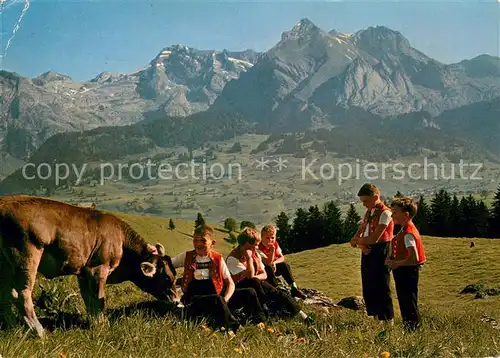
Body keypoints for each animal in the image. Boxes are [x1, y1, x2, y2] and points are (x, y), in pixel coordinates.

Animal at [0, 196, 179, 338]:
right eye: (166, 277)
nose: (177, 301)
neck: (122, 243)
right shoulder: (98, 269)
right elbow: (99, 299)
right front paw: (102, 325)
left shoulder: (83, 272)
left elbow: (88, 298)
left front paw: (93, 323)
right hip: (26, 255)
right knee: (21, 294)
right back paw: (38, 332)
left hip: (6, 264)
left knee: (6, 295)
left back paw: (13, 327)